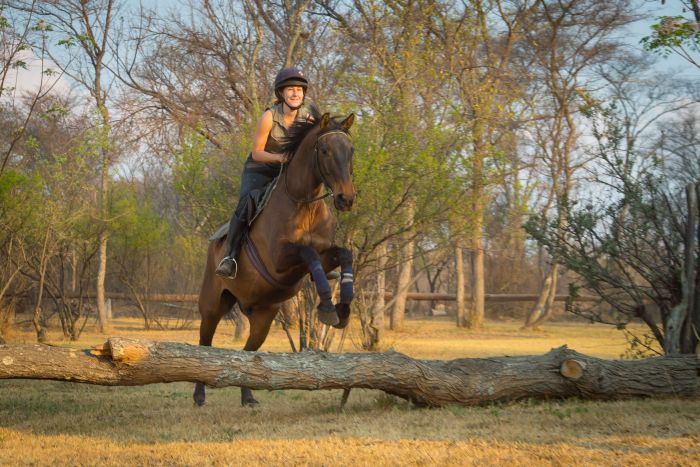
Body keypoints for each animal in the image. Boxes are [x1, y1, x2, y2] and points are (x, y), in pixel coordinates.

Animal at [194, 112, 356, 406]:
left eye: (351, 150)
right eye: (325, 151)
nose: (346, 198)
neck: (305, 204)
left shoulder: (325, 256)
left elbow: (343, 255)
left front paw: (343, 308)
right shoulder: (280, 260)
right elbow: (308, 253)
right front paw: (328, 307)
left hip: (263, 316)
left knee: (249, 352)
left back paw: (248, 397)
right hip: (212, 304)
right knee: (204, 344)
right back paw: (199, 395)